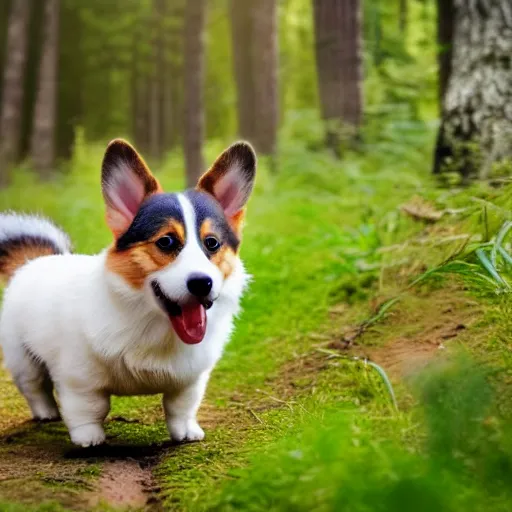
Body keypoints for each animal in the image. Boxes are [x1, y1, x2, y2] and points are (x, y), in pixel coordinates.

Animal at [0, 140, 256, 448]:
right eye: (166, 241)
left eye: (212, 243)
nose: (201, 283)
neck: (153, 323)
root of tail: (33, 261)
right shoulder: (79, 379)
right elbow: (89, 408)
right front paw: (89, 439)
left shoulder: (191, 379)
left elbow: (181, 406)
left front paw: (186, 432)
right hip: (22, 359)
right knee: (35, 388)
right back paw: (46, 413)